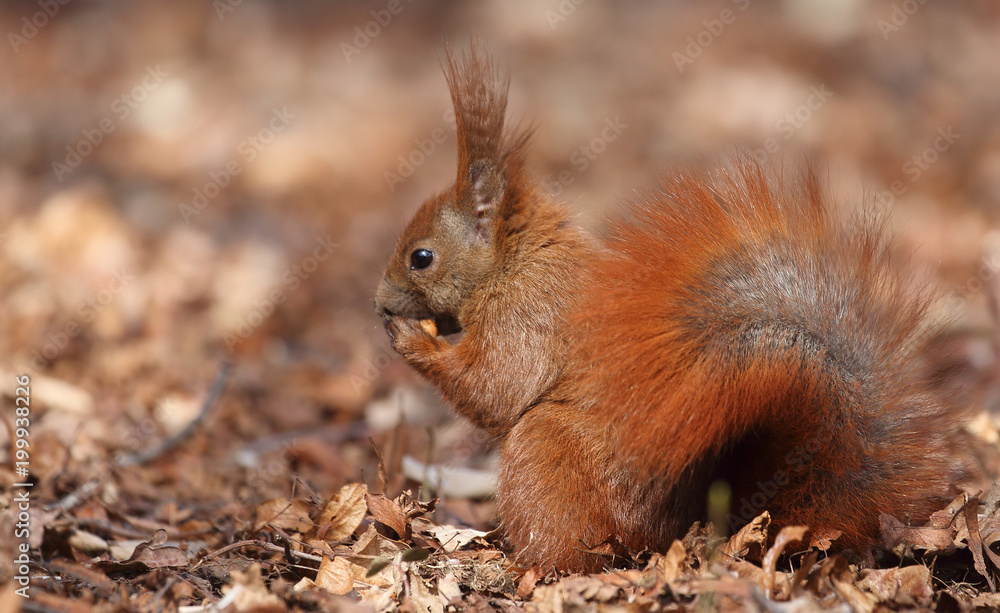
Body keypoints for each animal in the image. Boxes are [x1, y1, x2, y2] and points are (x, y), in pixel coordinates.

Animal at [374, 45, 968, 572]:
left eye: (421, 257)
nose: (379, 303)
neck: (514, 262)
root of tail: (670, 531)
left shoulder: (527, 314)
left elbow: (496, 386)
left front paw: (413, 339)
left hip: (545, 448)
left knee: (573, 549)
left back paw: (524, 565)